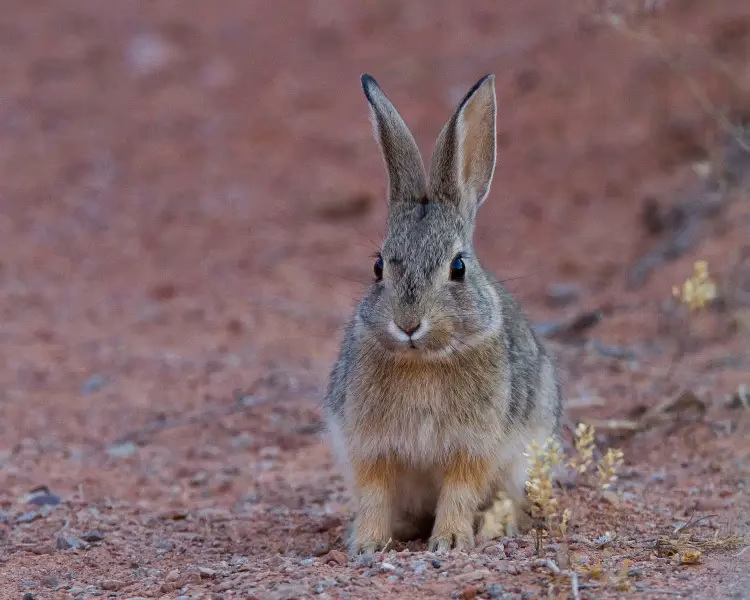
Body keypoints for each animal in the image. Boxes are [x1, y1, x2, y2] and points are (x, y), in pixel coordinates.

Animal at [323, 73, 563, 555]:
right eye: (378, 267)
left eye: (458, 268)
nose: (408, 324)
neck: (424, 361)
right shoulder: (369, 446)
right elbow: (374, 493)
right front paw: (368, 544)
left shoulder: (473, 447)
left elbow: (459, 491)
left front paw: (450, 541)